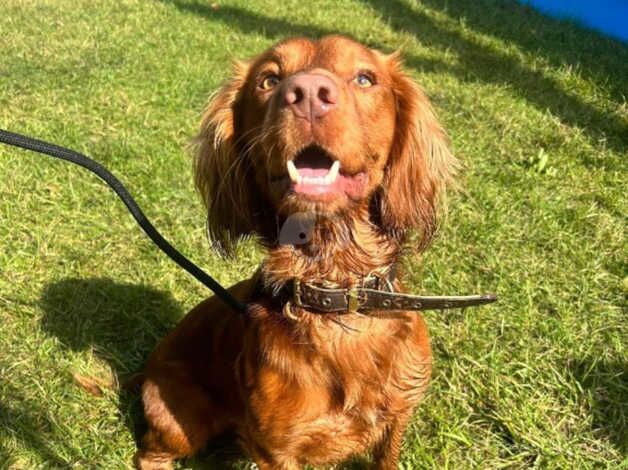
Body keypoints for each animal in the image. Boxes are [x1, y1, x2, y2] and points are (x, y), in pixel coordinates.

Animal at [134, 35, 456, 470]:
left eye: (364, 78)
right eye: (269, 80)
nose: (306, 94)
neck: (335, 294)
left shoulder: (398, 414)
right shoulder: (276, 448)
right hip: (180, 420)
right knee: (148, 452)